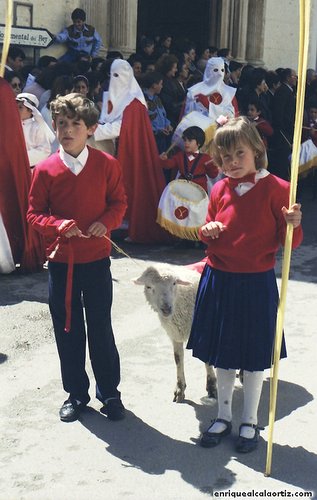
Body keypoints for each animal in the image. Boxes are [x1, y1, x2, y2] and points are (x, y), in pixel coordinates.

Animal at [133, 266, 217, 402]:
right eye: (149, 287)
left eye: (174, 283)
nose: (166, 309)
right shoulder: (175, 334)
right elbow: (178, 359)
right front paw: (180, 389)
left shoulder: (206, 330)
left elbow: (207, 360)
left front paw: (211, 387)